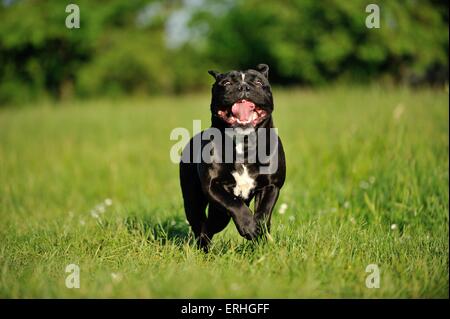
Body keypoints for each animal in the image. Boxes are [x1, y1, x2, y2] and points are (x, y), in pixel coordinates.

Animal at [178, 63, 284, 251]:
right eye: (226, 83)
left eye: (258, 82)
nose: (243, 87)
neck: (244, 144)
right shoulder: (213, 186)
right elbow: (234, 203)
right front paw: (248, 226)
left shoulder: (272, 185)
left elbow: (264, 212)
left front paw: (257, 231)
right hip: (194, 200)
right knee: (201, 223)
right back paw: (203, 246)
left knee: (212, 223)